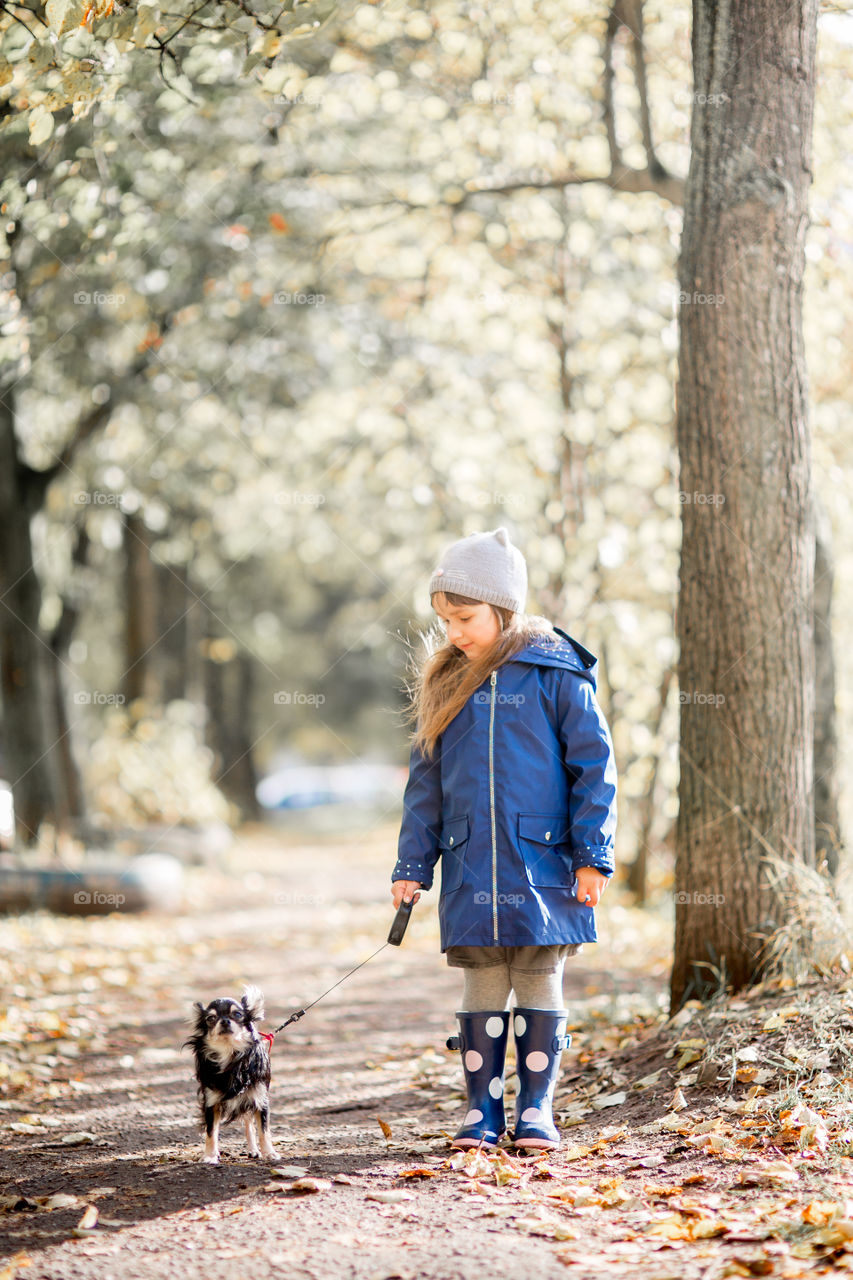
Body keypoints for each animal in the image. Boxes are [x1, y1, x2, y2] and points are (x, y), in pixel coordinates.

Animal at [185, 983, 279, 1167]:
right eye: (211, 1018)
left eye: (237, 1014)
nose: (225, 1021)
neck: (231, 1055)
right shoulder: (211, 1102)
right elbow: (211, 1132)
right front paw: (210, 1155)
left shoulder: (260, 1098)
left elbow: (264, 1130)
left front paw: (269, 1152)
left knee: (249, 1123)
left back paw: (254, 1150)